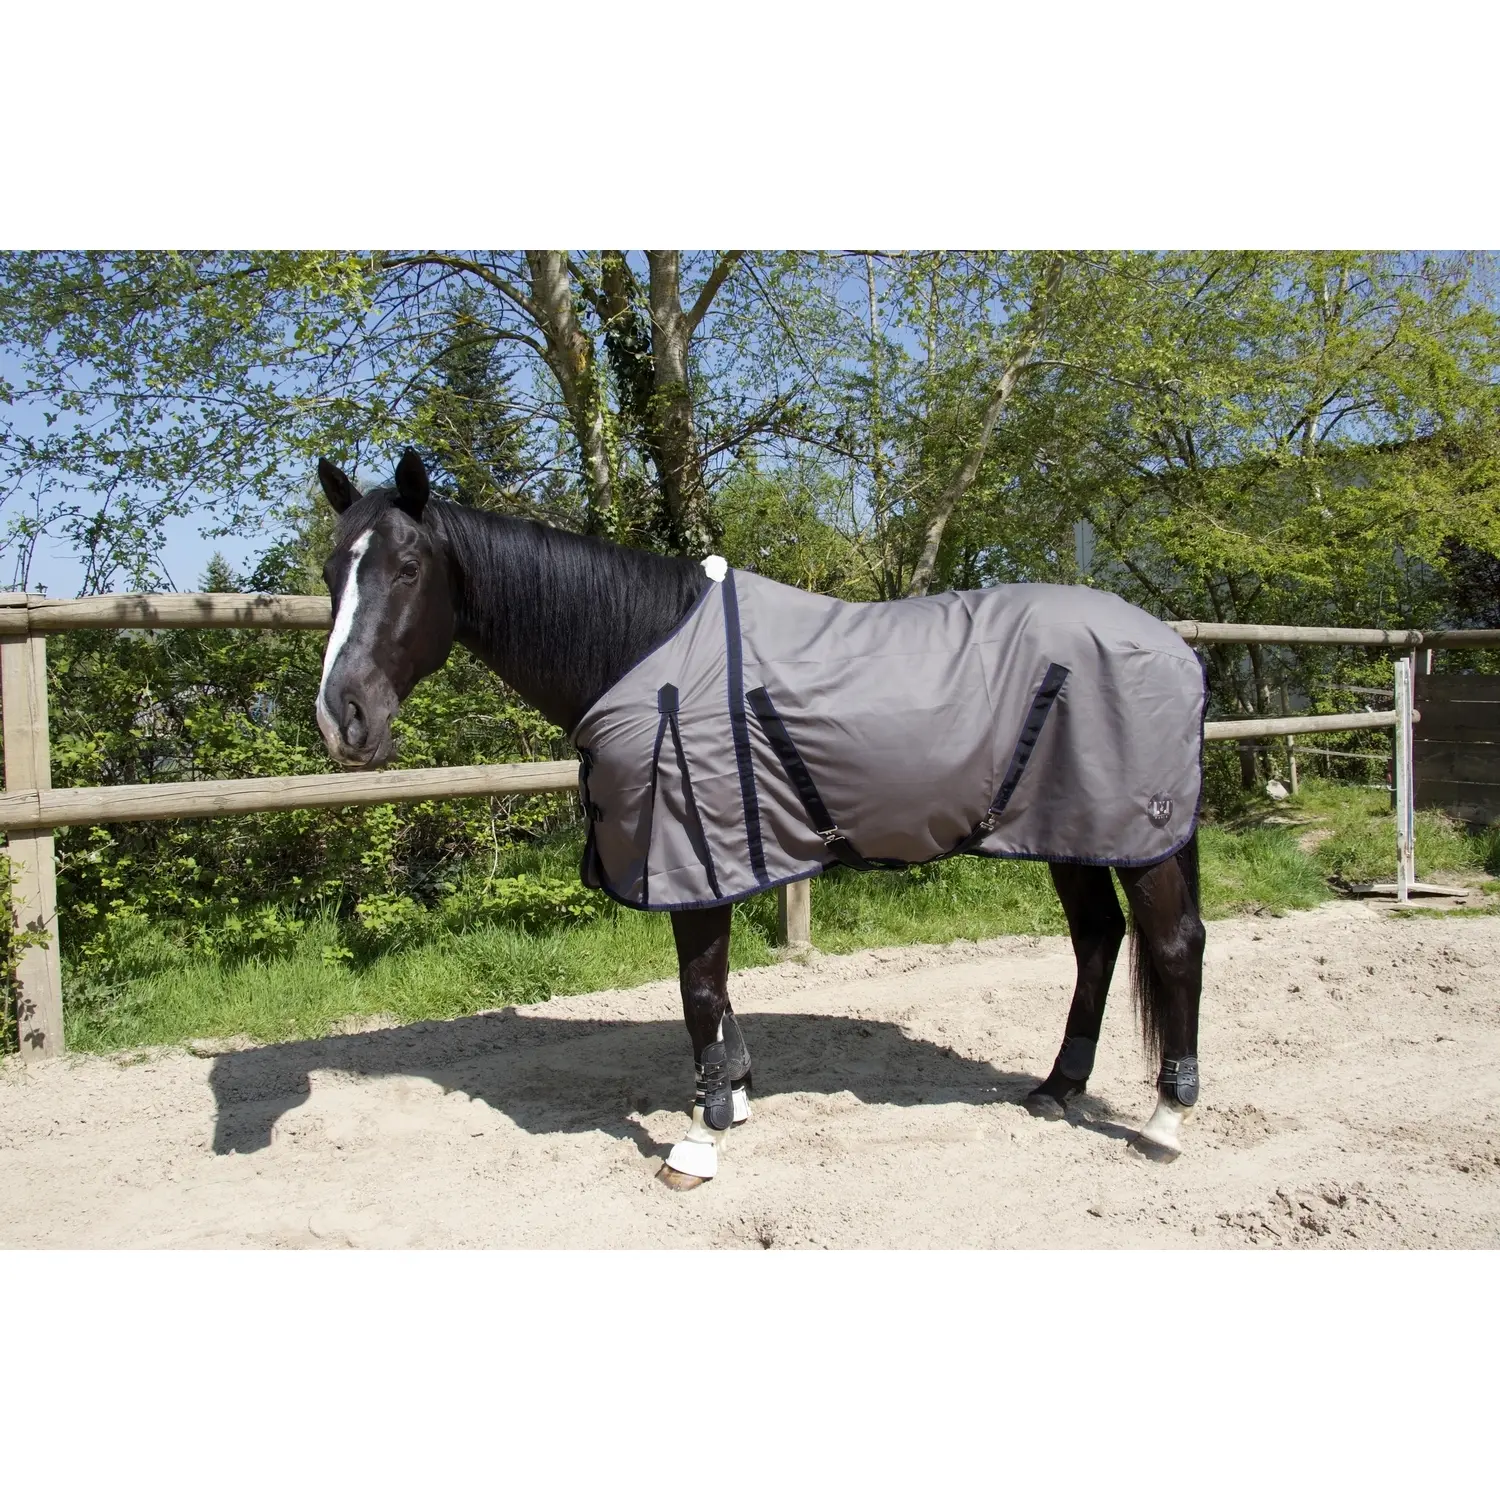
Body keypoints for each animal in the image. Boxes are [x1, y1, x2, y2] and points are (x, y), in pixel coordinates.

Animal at [313, 449, 1206, 1189]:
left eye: (408, 567)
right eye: (330, 572)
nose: (342, 718)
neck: (644, 653)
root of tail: (1176, 647)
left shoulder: (691, 852)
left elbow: (699, 989)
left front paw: (699, 1143)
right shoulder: (702, 862)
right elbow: (715, 994)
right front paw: (733, 1095)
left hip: (1141, 839)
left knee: (1172, 945)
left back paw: (1165, 1122)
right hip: (1071, 831)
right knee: (1098, 940)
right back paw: (1057, 1089)